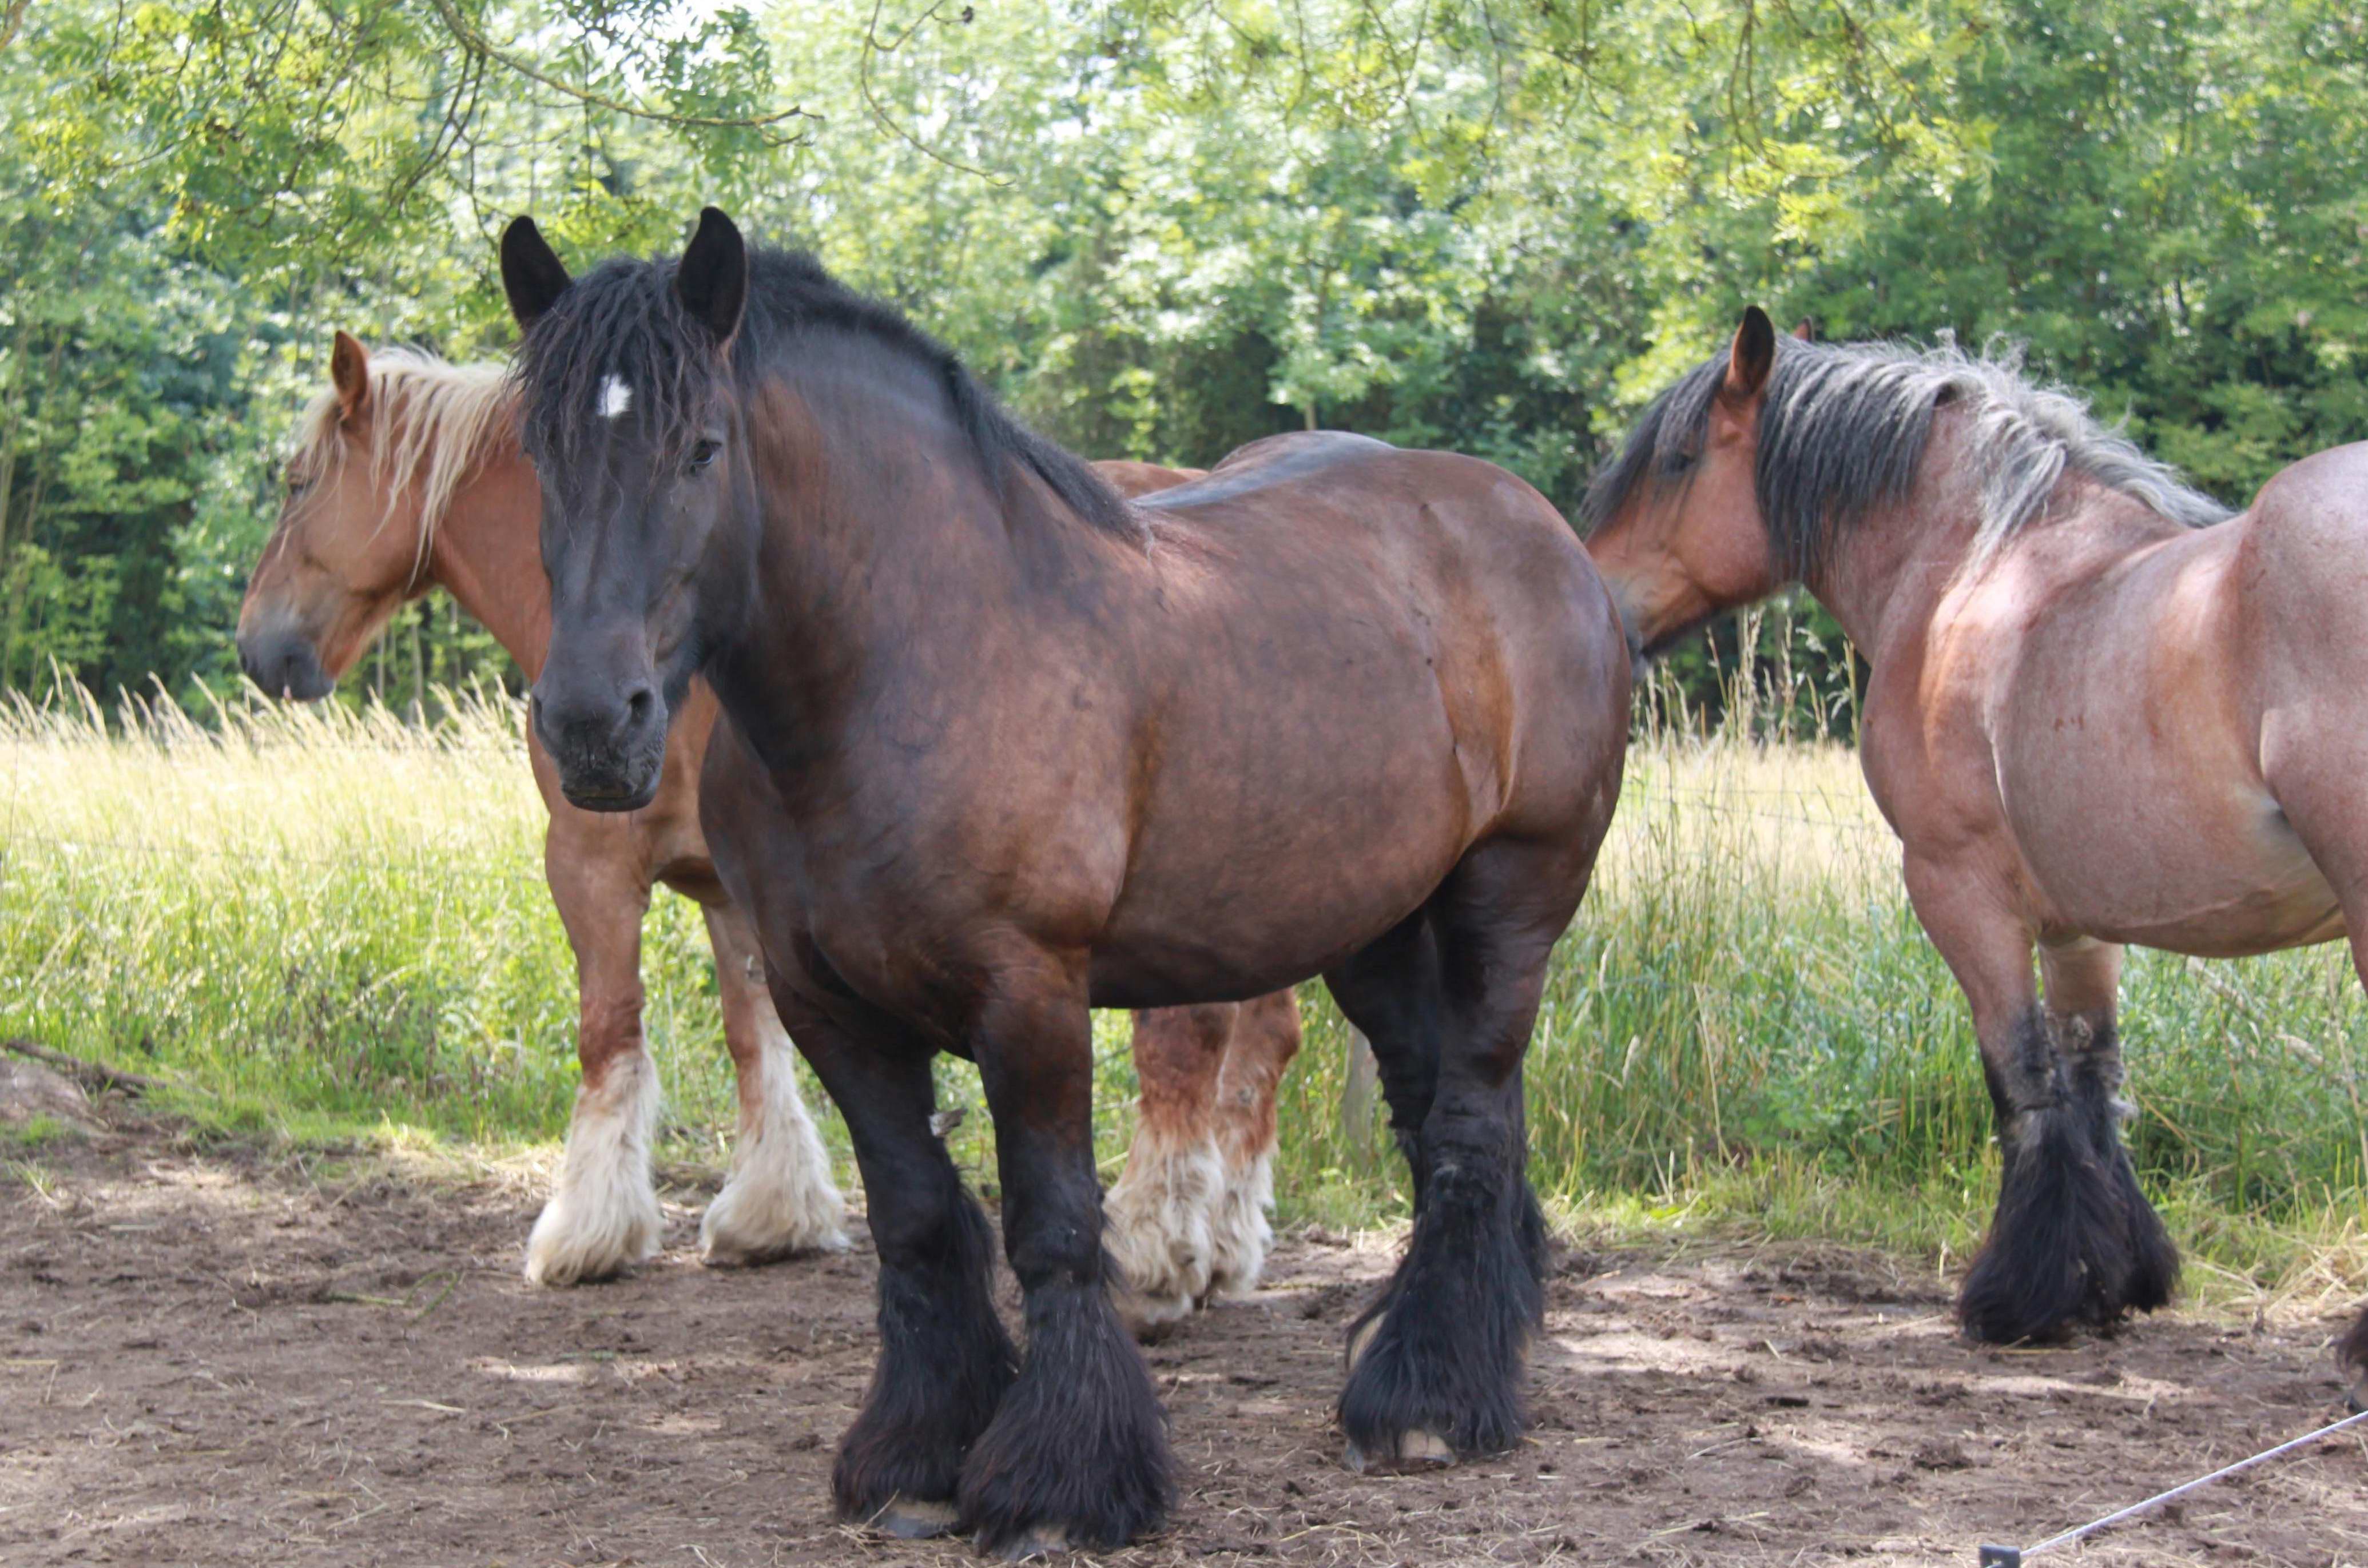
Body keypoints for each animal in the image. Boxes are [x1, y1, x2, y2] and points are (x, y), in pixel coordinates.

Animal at [233, 334, 1307, 1326]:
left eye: (296, 483)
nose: (257, 646)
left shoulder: (590, 864)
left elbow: (608, 1034)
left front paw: (588, 1230)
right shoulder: (733, 891)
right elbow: (754, 1034)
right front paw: (773, 1212)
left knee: (1187, 1046)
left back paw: (1160, 1251)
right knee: (1264, 1043)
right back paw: (1224, 1244)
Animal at [502, 212, 1638, 1563]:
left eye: (702, 447)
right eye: (539, 450)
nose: (591, 726)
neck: (915, 659)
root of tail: (1538, 532)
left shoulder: (1029, 992)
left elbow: (1050, 1224)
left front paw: (1061, 1482)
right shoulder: (827, 1003)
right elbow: (918, 1215)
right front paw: (919, 1458)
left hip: (1512, 901)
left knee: (1468, 1126)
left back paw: (1427, 1406)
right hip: (1378, 932)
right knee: (1449, 1120)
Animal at [1582, 308, 2368, 1392]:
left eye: (1680, 458)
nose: (1595, 599)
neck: (1978, 566)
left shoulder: (1960, 891)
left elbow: (2021, 1080)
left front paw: (2021, 1297)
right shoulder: (2077, 920)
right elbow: (2092, 1079)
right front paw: (2113, 1278)